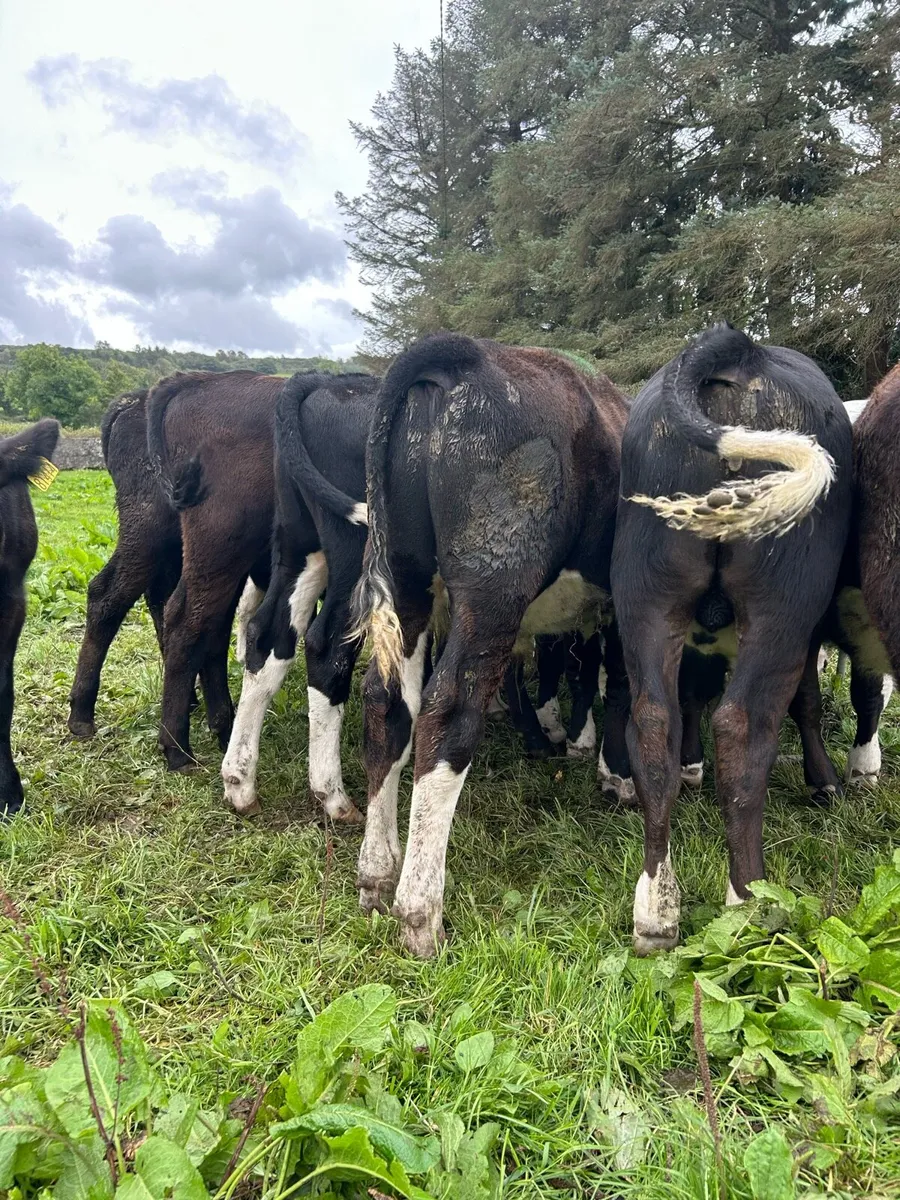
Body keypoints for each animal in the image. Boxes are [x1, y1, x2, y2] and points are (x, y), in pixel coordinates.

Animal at [147, 371, 280, 770]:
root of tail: (199, 379)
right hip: (220, 547)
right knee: (186, 623)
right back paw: (177, 747)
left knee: (211, 626)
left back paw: (222, 726)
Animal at [221, 371, 377, 820]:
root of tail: (326, 379)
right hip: (355, 556)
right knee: (327, 647)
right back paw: (333, 795)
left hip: (302, 547)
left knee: (269, 636)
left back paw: (239, 781)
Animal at [351, 334, 631, 956]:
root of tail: (466, 354)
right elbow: (621, 684)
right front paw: (615, 772)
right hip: (494, 588)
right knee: (448, 710)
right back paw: (420, 911)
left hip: (407, 580)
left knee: (387, 703)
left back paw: (378, 872)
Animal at [611, 322, 853, 954]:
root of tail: (738, 347)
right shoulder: (806, 633)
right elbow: (808, 703)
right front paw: (825, 782)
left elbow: (691, 699)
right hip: (784, 604)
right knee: (743, 729)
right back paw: (749, 903)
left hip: (646, 594)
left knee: (653, 722)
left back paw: (656, 911)